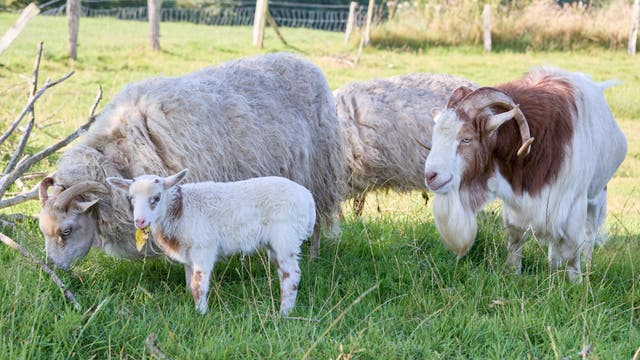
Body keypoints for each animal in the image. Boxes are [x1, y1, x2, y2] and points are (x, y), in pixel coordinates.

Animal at [38, 52, 348, 268]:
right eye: (43, 230)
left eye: (66, 231)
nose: (51, 268)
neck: (123, 152)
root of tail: (307, 63)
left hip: (319, 173)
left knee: (317, 220)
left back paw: (313, 257)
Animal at [108, 169, 318, 316]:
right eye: (131, 198)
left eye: (156, 198)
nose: (139, 221)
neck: (179, 210)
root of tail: (308, 198)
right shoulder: (188, 253)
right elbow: (189, 280)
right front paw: (189, 302)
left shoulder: (203, 248)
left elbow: (198, 284)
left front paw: (201, 312)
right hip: (276, 243)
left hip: (285, 236)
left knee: (292, 275)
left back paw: (284, 313)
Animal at [422, 67, 628, 282]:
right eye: (435, 136)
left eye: (466, 139)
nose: (431, 176)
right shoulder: (517, 205)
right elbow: (516, 240)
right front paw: (514, 274)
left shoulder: (571, 203)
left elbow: (572, 253)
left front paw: (577, 284)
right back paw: (553, 270)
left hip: (597, 195)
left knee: (589, 236)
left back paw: (586, 271)